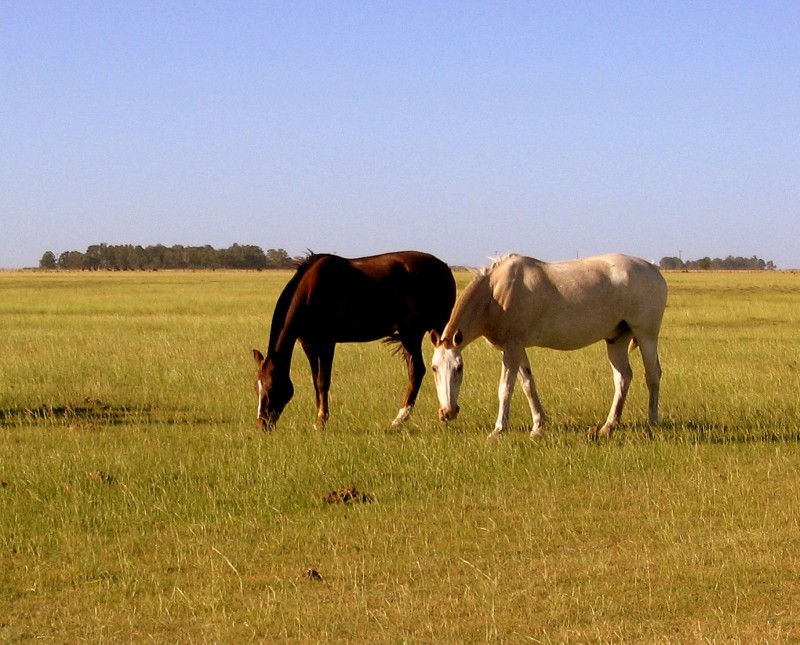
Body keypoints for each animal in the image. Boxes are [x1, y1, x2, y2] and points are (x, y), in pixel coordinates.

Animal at [256, 249, 456, 430]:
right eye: (256, 388)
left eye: (272, 388)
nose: (262, 424)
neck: (309, 292)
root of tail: (444, 267)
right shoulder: (309, 344)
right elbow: (315, 381)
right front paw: (318, 418)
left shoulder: (327, 343)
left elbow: (323, 381)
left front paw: (321, 421)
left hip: (417, 331)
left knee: (426, 369)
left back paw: (411, 418)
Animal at [432, 254, 668, 440]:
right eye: (434, 368)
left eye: (459, 367)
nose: (447, 412)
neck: (495, 293)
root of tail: (653, 269)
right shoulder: (517, 348)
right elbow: (528, 384)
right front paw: (538, 426)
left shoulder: (512, 348)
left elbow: (505, 388)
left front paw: (498, 430)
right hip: (616, 339)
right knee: (622, 378)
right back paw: (608, 427)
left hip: (646, 335)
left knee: (652, 375)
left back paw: (652, 424)